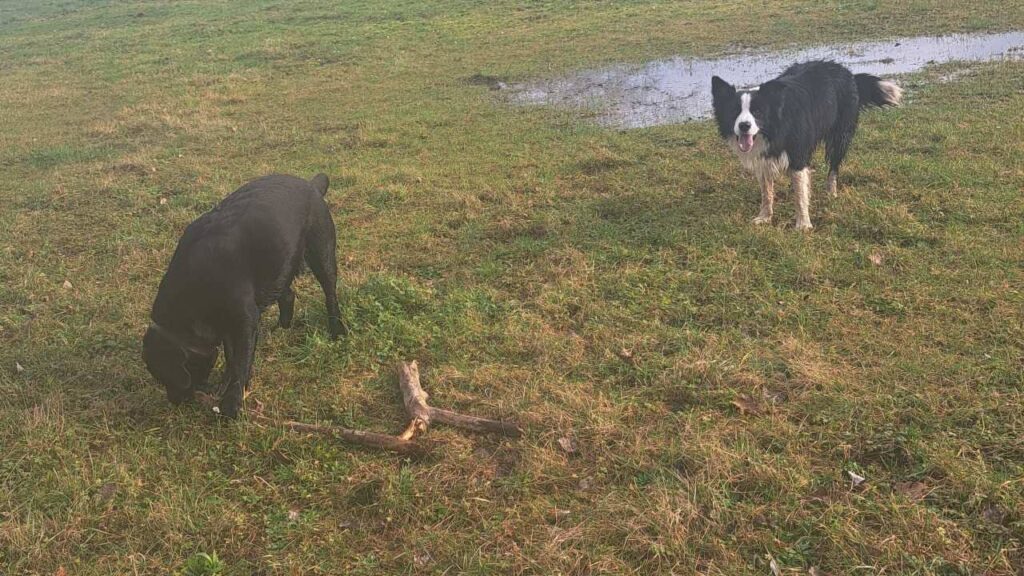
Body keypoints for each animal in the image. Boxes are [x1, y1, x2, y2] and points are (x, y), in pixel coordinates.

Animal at [142, 172, 346, 414]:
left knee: (330, 295)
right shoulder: (228, 326)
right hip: (278, 269)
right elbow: (232, 357)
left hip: (322, 254)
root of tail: (311, 185)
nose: (174, 401)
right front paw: (225, 384)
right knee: (288, 295)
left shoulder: (244, 321)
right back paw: (281, 328)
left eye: (168, 379)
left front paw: (232, 402)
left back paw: (337, 330)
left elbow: (241, 362)